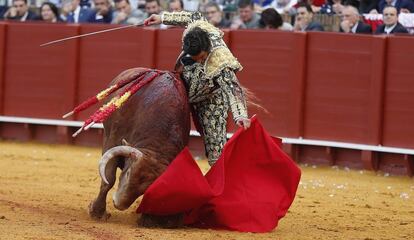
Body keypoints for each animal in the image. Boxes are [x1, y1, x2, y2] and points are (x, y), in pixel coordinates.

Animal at [87, 67, 191, 227]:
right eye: (128, 172)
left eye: (146, 191)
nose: (118, 204)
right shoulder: (113, 139)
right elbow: (108, 179)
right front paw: (97, 212)